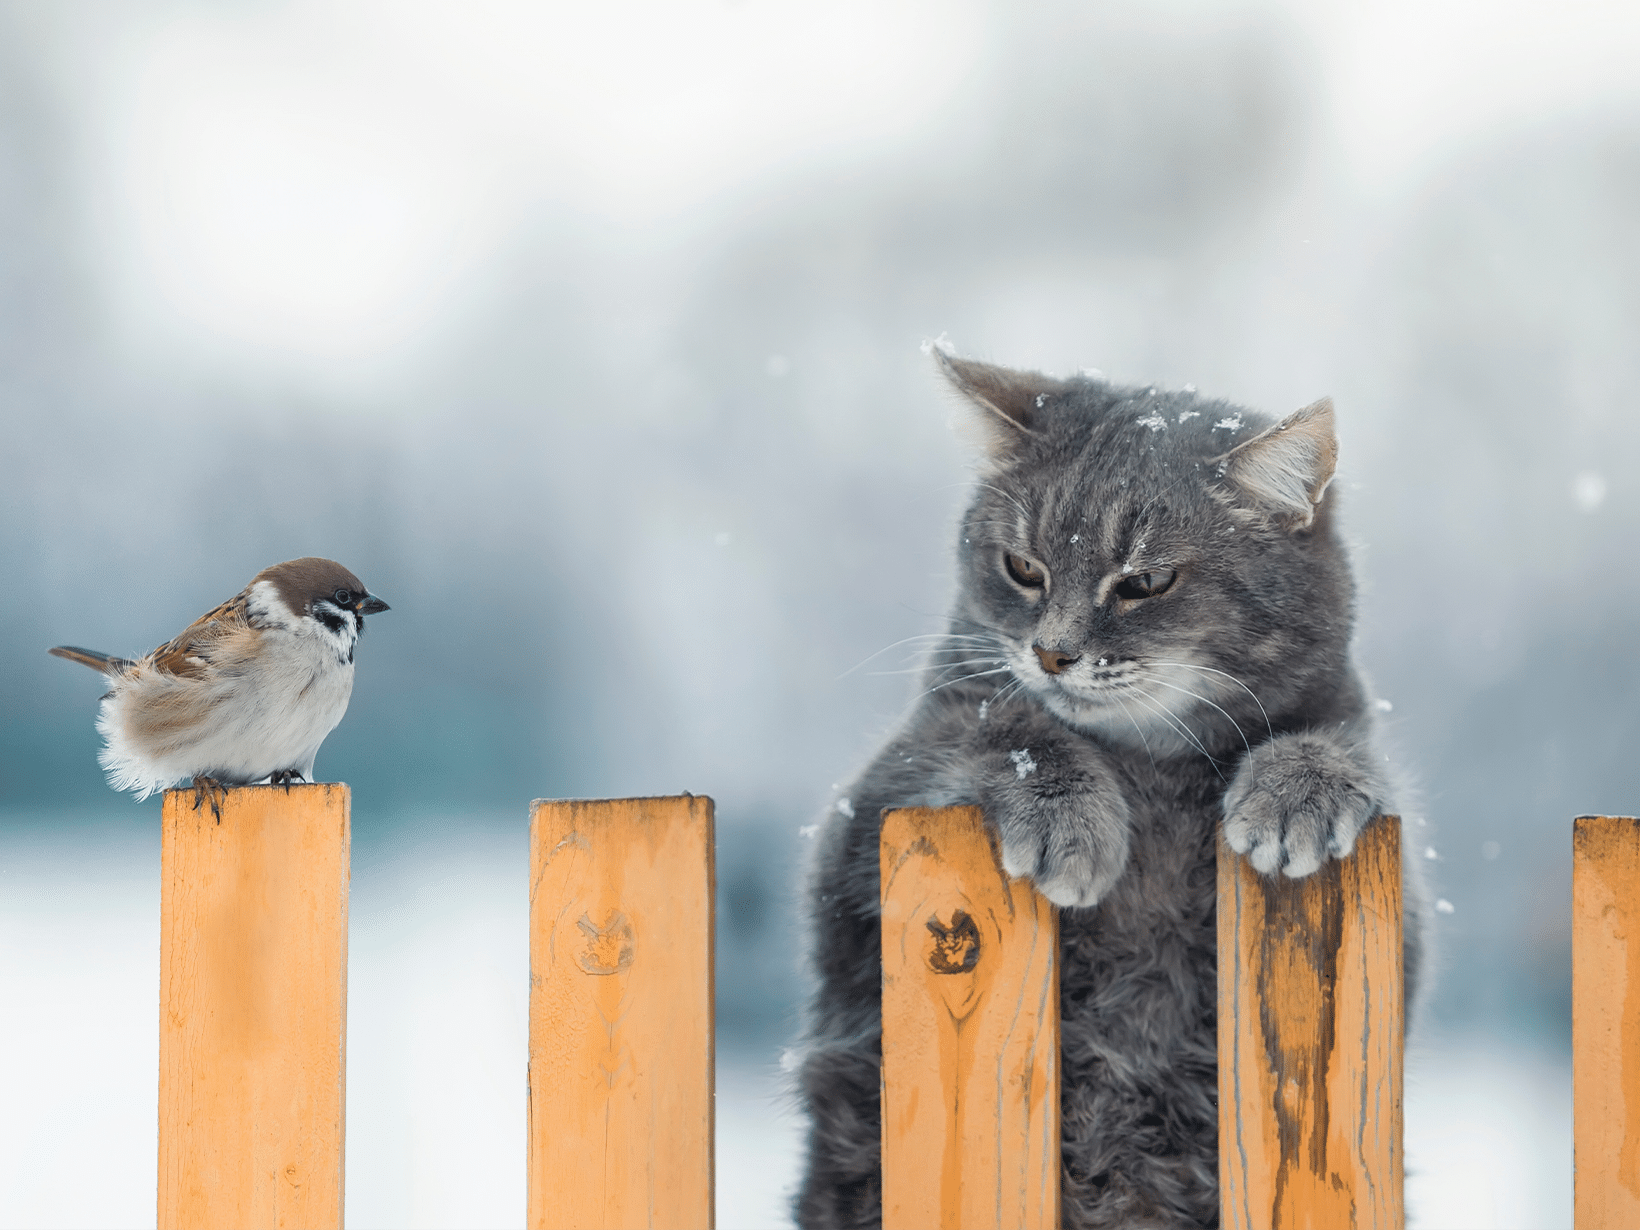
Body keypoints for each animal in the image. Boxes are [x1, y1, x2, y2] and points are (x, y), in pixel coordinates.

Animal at [793, 354, 1423, 1230]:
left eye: (1146, 582)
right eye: (1024, 569)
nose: (1051, 652)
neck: (1149, 766)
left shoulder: (1402, 918)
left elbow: (1337, 746)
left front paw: (1297, 789)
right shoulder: (878, 800)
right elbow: (1005, 726)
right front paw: (1072, 820)